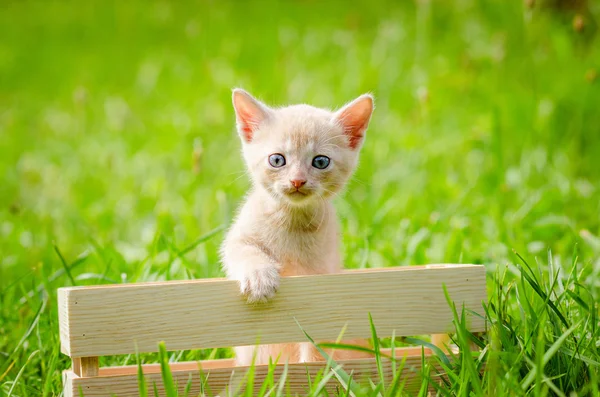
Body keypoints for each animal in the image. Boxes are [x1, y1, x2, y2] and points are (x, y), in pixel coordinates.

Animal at [220, 88, 376, 364]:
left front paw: (314, 371)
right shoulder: (238, 237)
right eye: (277, 160)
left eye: (321, 162)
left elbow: (315, 340)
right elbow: (243, 250)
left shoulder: (320, 276)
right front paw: (259, 277)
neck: (291, 219)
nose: (297, 181)